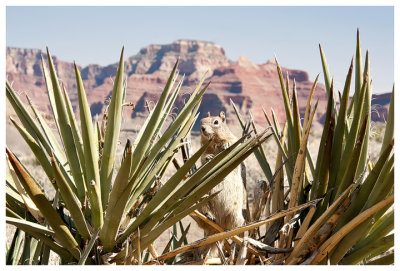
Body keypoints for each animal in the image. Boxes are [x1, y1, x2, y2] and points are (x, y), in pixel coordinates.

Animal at [193, 112, 245, 260]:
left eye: (216, 122)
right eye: (201, 121)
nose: (202, 129)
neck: (215, 142)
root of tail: (217, 229)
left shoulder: (234, 139)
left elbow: (233, 143)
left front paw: (226, 144)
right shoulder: (202, 149)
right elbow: (203, 156)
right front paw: (209, 157)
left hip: (236, 216)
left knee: (230, 229)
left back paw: (230, 232)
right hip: (202, 200)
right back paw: (209, 215)